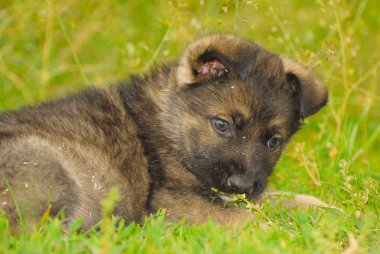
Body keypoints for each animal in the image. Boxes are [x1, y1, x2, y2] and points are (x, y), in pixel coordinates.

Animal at [0, 34, 326, 230]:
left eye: (273, 142)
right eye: (222, 125)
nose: (241, 184)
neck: (170, 125)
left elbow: (272, 199)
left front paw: (323, 207)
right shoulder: (169, 202)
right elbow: (245, 218)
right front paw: (279, 234)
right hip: (47, 164)